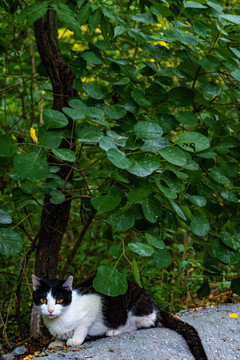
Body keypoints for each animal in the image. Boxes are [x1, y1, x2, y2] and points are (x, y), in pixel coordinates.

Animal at [31, 274, 208, 358]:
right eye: (43, 300)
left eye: (59, 300)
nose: (51, 310)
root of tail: (154, 305)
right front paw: (57, 341)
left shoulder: (94, 303)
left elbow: (82, 326)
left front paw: (75, 339)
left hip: (134, 303)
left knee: (141, 323)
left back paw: (115, 330)